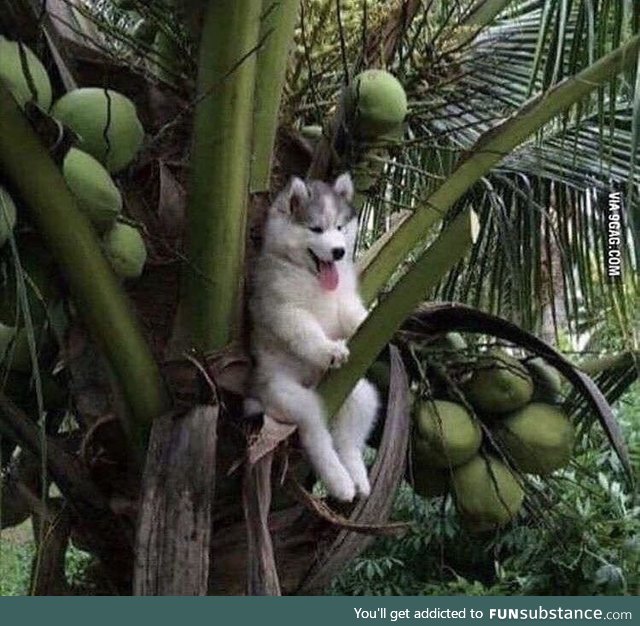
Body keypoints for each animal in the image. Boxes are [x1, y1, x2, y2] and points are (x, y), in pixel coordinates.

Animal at [249, 173, 380, 500]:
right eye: (316, 229)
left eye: (339, 227)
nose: (339, 252)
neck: (311, 276)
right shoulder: (284, 309)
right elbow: (305, 331)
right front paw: (328, 350)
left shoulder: (344, 302)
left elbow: (353, 317)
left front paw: (366, 320)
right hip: (287, 395)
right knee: (316, 434)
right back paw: (339, 481)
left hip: (360, 393)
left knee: (349, 438)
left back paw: (357, 477)